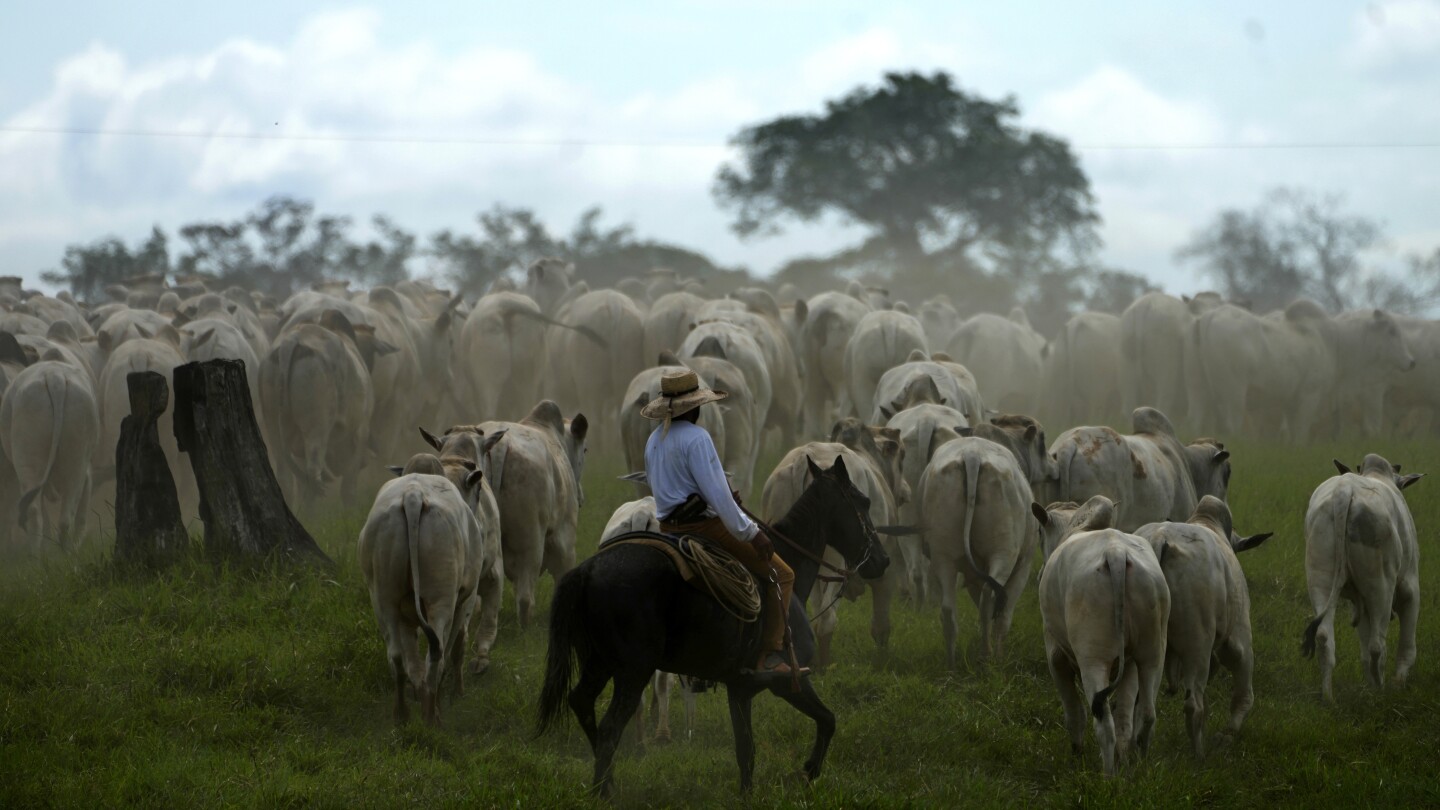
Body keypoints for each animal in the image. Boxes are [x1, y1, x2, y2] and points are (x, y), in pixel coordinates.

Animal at [538, 455, 887, 795]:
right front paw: (809, 770)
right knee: (611, 727)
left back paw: (607, 781)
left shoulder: (739, 688)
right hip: (632, 671)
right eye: (864, 501)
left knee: (582, 703)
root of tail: (587, 569)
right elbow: (828, 720)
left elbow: (746, 750)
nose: (881, 561)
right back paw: (606, 790)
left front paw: (747, 794)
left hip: (599, 662)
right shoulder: (789, 680)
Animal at [1307, 455, 1416, 700]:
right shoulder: (1411, 588)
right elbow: (1407, 648)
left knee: (1324, 636)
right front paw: (1398, 684)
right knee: (1377, 646)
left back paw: (1328, 697)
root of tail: (1344, 490)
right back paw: (1379, 692)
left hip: (1320, 576)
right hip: (1380, 586)